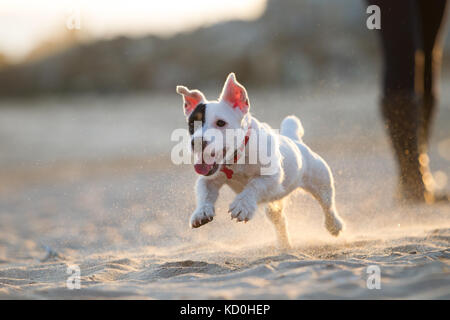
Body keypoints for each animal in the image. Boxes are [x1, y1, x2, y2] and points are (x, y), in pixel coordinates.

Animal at [176, 74, 344, 249]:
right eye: (192, 124)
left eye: (221, 123)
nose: (197, 142)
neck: (237, 158)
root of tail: (295, 141)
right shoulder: (209, 179)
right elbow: (205, 193)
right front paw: (201, 212)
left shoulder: (272, 177)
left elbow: (253, 185)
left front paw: (242, 206)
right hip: (274, 205)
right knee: (280, 220)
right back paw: (284, 246)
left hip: (321, 181)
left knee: (327, 204)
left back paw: (334, 225)